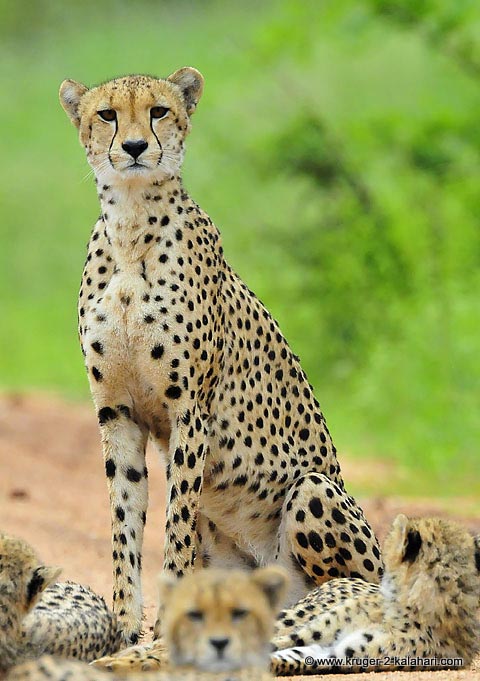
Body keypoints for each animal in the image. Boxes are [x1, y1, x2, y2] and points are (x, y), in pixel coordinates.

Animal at [59, 67, 382, 644]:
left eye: (159, 111)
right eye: (107, 115)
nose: (135, 146)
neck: (131, 231)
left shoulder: (190, 411)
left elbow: (176, 522)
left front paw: (163, 622)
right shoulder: (117, 411)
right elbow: (124, 520)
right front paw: (124, 623)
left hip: (314, 489)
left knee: (347, 589)